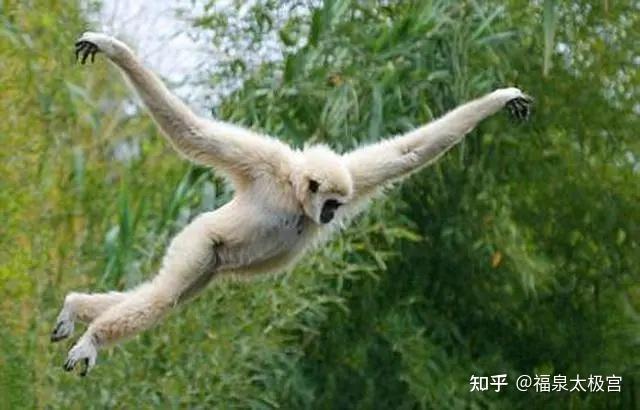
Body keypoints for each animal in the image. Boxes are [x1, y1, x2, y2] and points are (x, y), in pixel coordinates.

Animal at [52, 32, 532, 376]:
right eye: (331, 202)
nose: (333, 214)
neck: (296, 200)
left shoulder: (353, 174)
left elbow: (408, 153)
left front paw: (500, 97)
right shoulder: (264, 163)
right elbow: (192, 132)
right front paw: (113, 48)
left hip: (209, 267)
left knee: (162, 295)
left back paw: (75, 306)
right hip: (201, 242)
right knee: (163, 297)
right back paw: (92, 335)